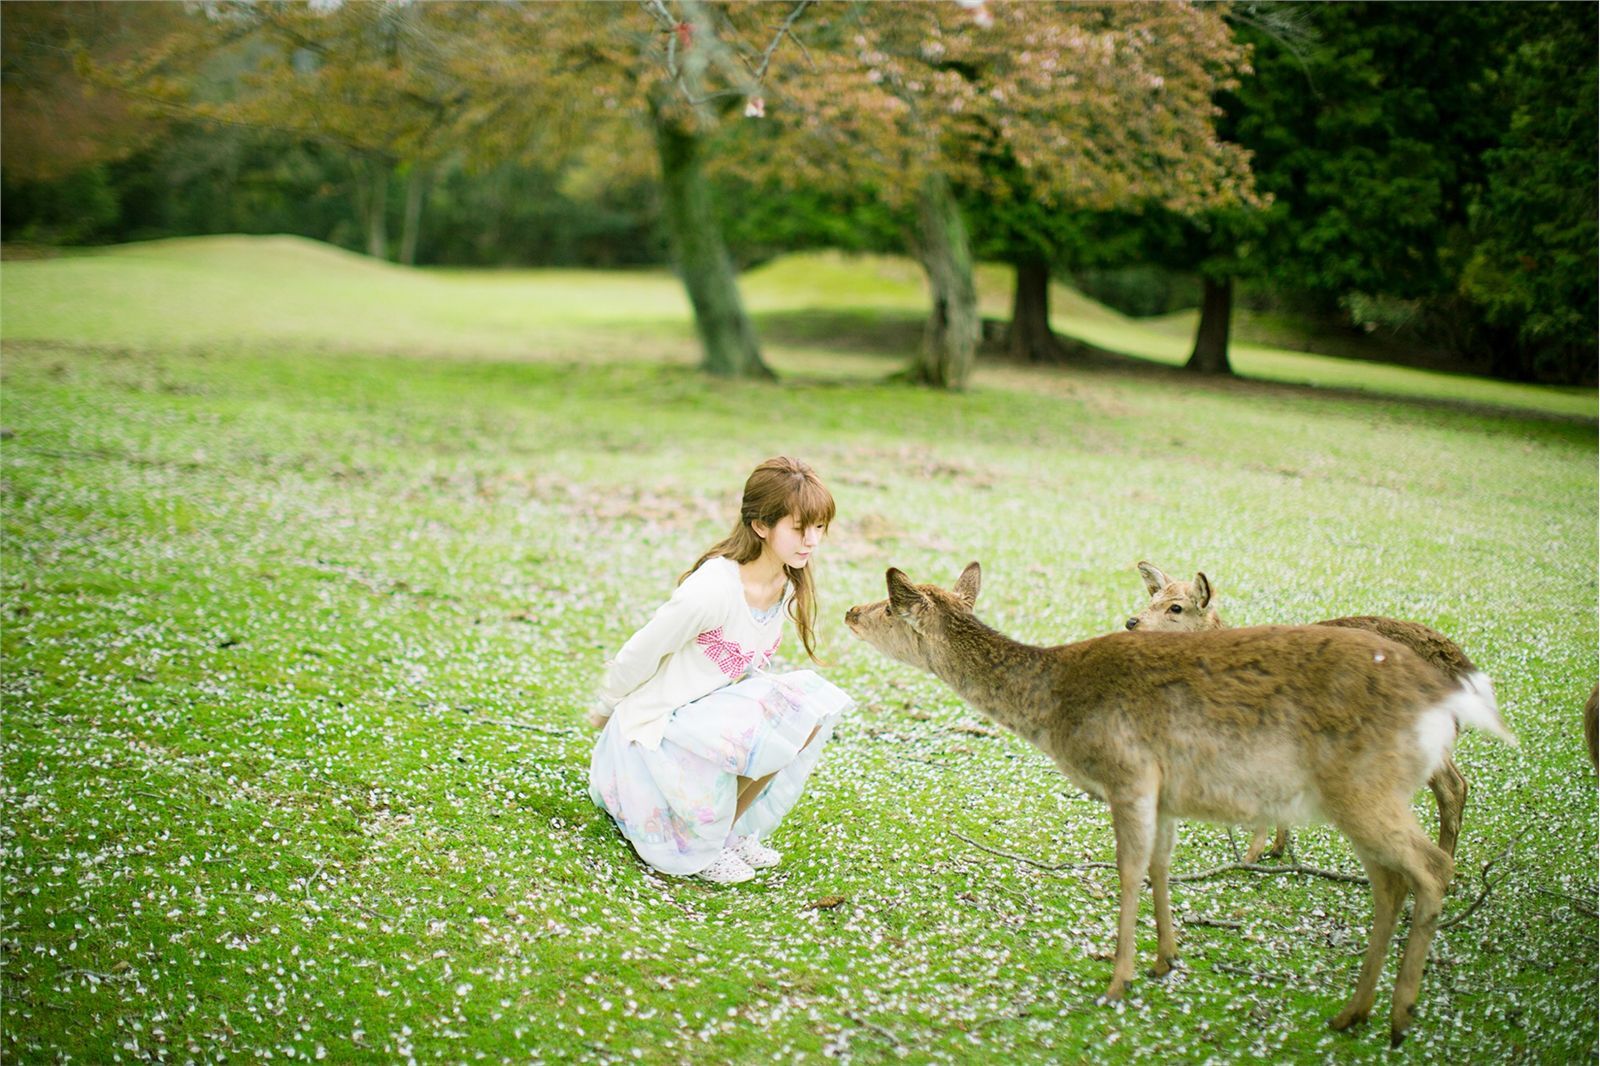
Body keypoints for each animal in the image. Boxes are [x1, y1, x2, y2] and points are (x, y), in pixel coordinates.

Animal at [1126, 560, 1472, 857]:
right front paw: (1277, 849)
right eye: (1152, 596)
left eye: (1176, 607)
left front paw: (1253, 855)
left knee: (1453, 786)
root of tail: (1460, 664)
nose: (1131, 622)